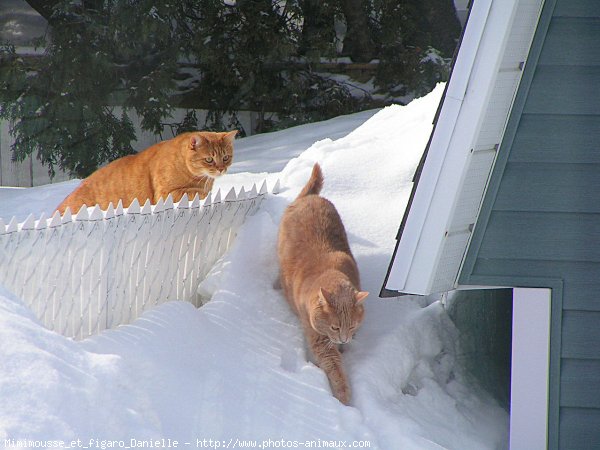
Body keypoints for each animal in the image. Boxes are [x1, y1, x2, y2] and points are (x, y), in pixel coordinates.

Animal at [278, 163, 368, 404]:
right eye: (335, 326)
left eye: (352, 326)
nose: (345, 339)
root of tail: (308, 197)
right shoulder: (318, 340)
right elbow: (334, 366)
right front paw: (343, 399)